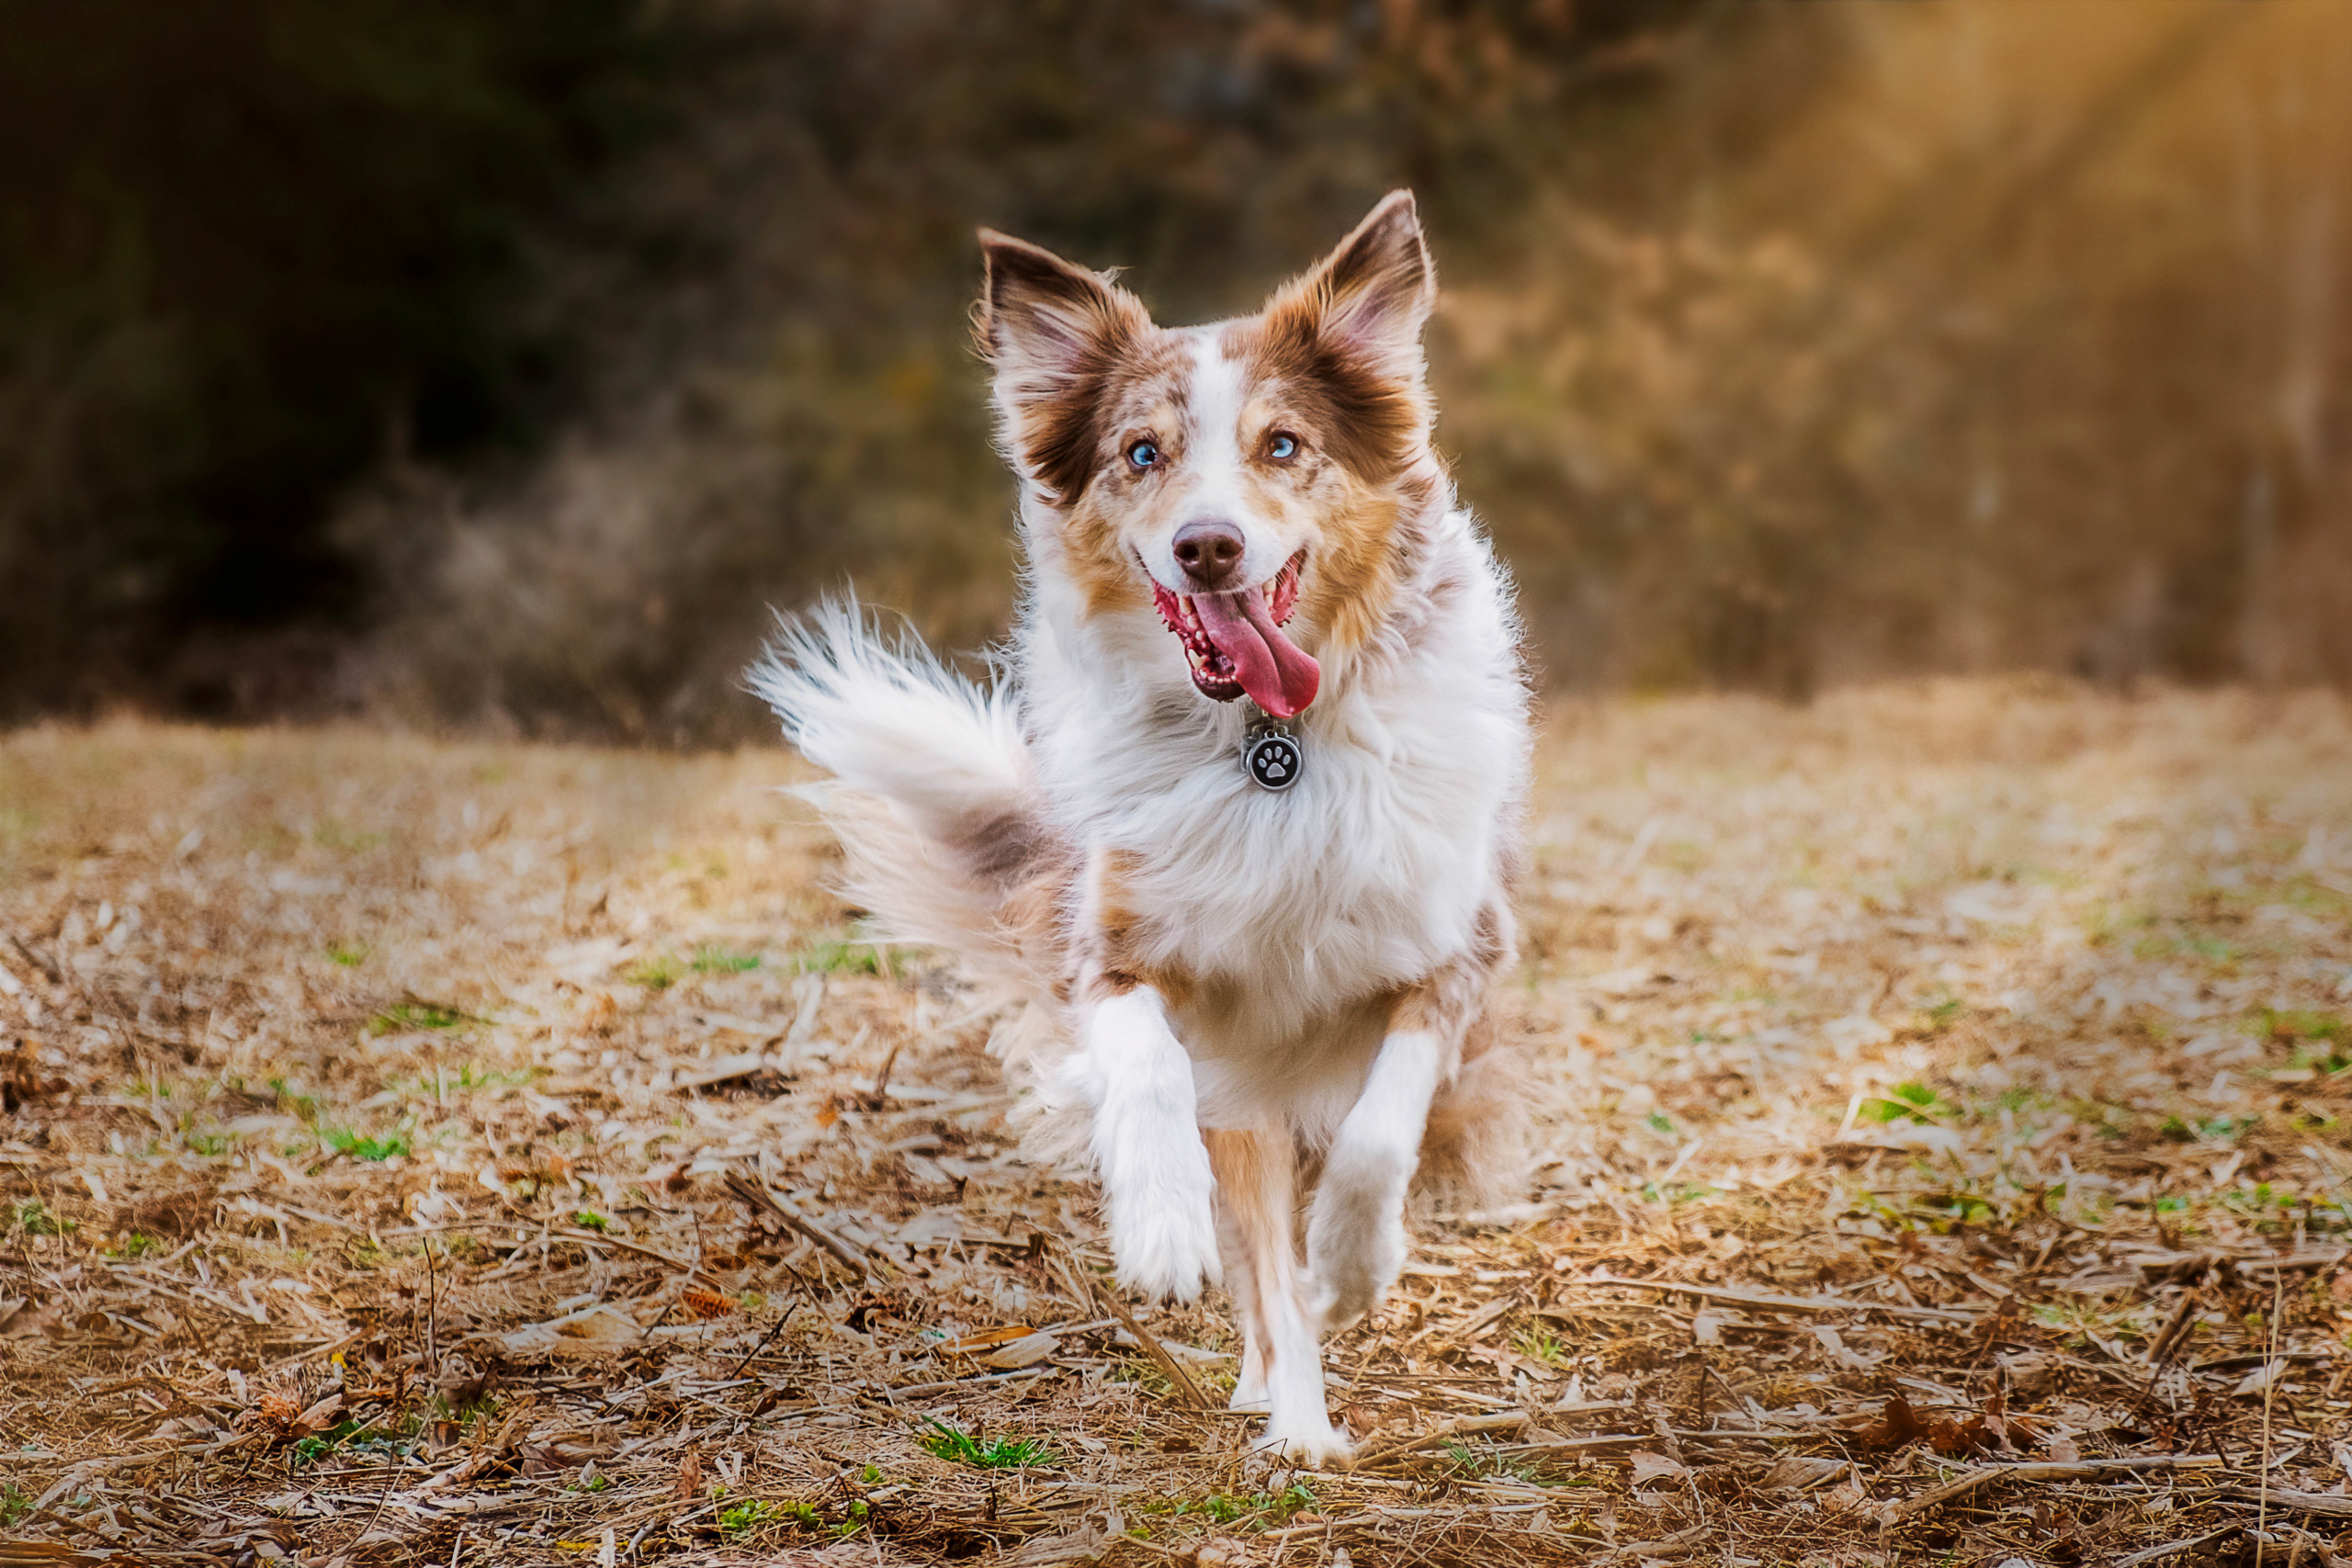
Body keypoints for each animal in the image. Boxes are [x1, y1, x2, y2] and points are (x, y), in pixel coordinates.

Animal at [748, 190, 1523, 1466]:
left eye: (1282, 445)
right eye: (1142, 454)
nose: (1207, 545)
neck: (1268, 746)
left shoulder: (1452, 954)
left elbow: (1377, 1130)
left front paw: (1355, 1261)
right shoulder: (1113, 953)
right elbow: (1147, 1067)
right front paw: (1161, 1232)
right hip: (1240, 1099)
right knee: (1258, 1266)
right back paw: (1284, 1412)